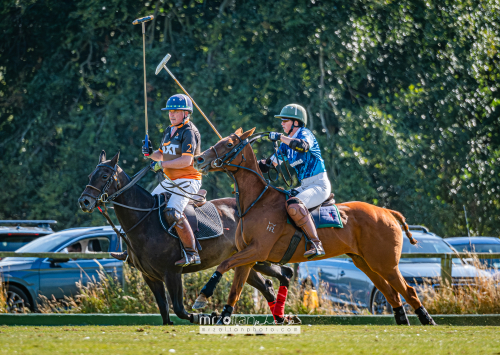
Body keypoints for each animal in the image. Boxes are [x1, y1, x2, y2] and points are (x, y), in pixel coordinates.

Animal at [77, 150, 292, 326]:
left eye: (105, 175)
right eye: (89, 176)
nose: (84, 201)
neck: (144, 222)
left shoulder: (172, 272)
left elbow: (179, 309)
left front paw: (208, 316)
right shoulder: (149, 276)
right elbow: (164, 311)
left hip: (256, 255)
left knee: (282, 273)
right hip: (243, 260)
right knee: (268, 284)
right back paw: (280, 316)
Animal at [193, 129, 436, 326]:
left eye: (228, 144)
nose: (199, 158)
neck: (256, 202)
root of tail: (387, 212)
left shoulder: (258, 251)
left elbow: (224, 264)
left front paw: (202, 296)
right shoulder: (247, 256)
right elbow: (235, 289)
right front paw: (222, 317)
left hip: (386, 263)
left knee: (408, 290)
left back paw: (427, 320)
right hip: (366, 263)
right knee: (392, 294)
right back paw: (403, 320)